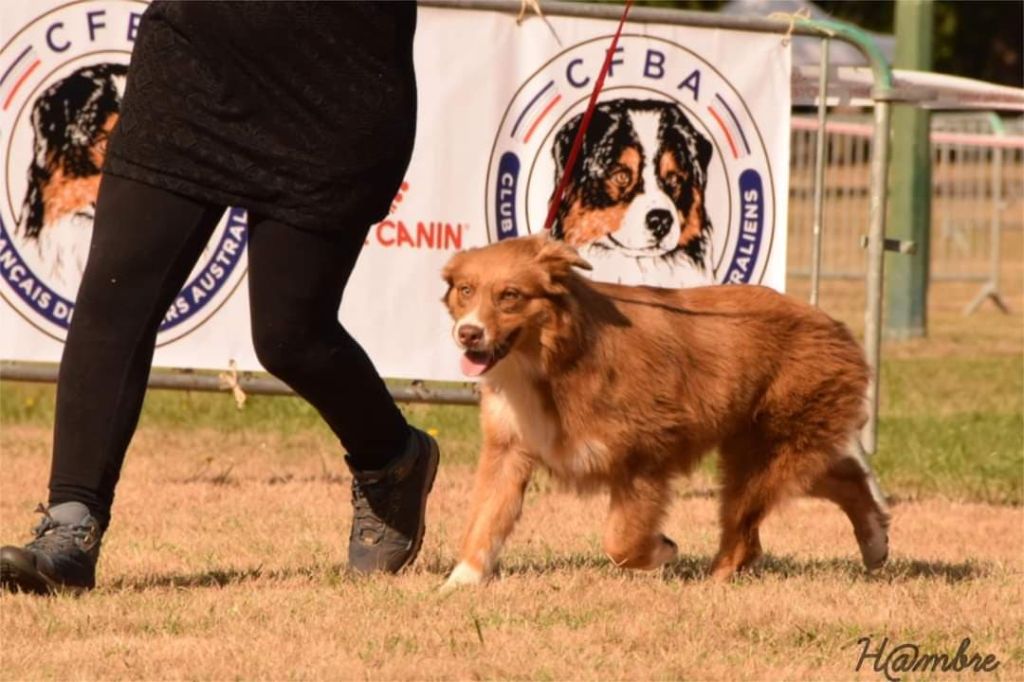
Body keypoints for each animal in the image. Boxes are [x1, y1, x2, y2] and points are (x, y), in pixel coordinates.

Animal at [440, 233, 888, 585]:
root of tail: (832, 324)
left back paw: (714, 580)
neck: (554, 358)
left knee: (744, 532)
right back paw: (875, 543)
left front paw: (662, 550)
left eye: (510, 295)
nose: (468, 334)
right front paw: (460, 582)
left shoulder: (646, 457)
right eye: (466, 290)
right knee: (842, 478)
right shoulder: (509, 448)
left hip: (763, 454)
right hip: (767, 447)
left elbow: (620, 540)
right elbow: (486, 517)